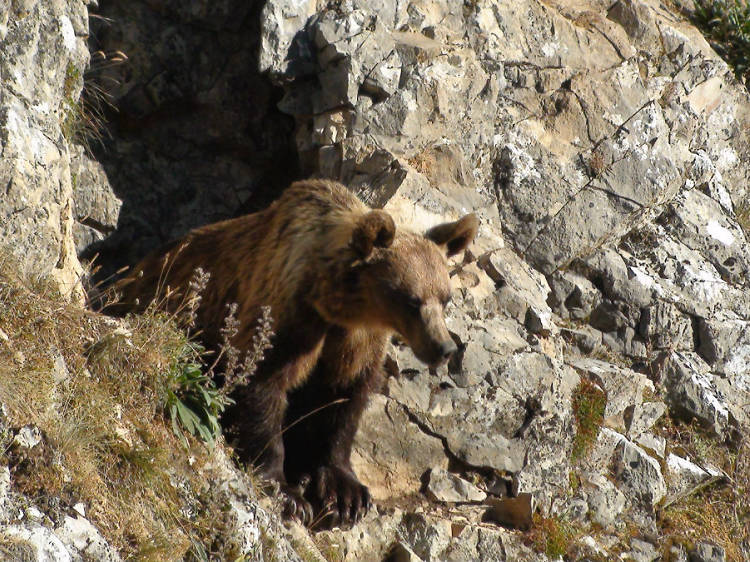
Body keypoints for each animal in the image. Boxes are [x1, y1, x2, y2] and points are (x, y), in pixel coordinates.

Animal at [111, 178, 476, 524]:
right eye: (412, 300)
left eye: (445, 298)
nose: (444, 347)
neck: (337, 306)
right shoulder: (286, 316)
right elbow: (262, 385)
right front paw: (287, 492)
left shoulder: (355, 342)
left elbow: (343, 402)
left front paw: (346, 495)